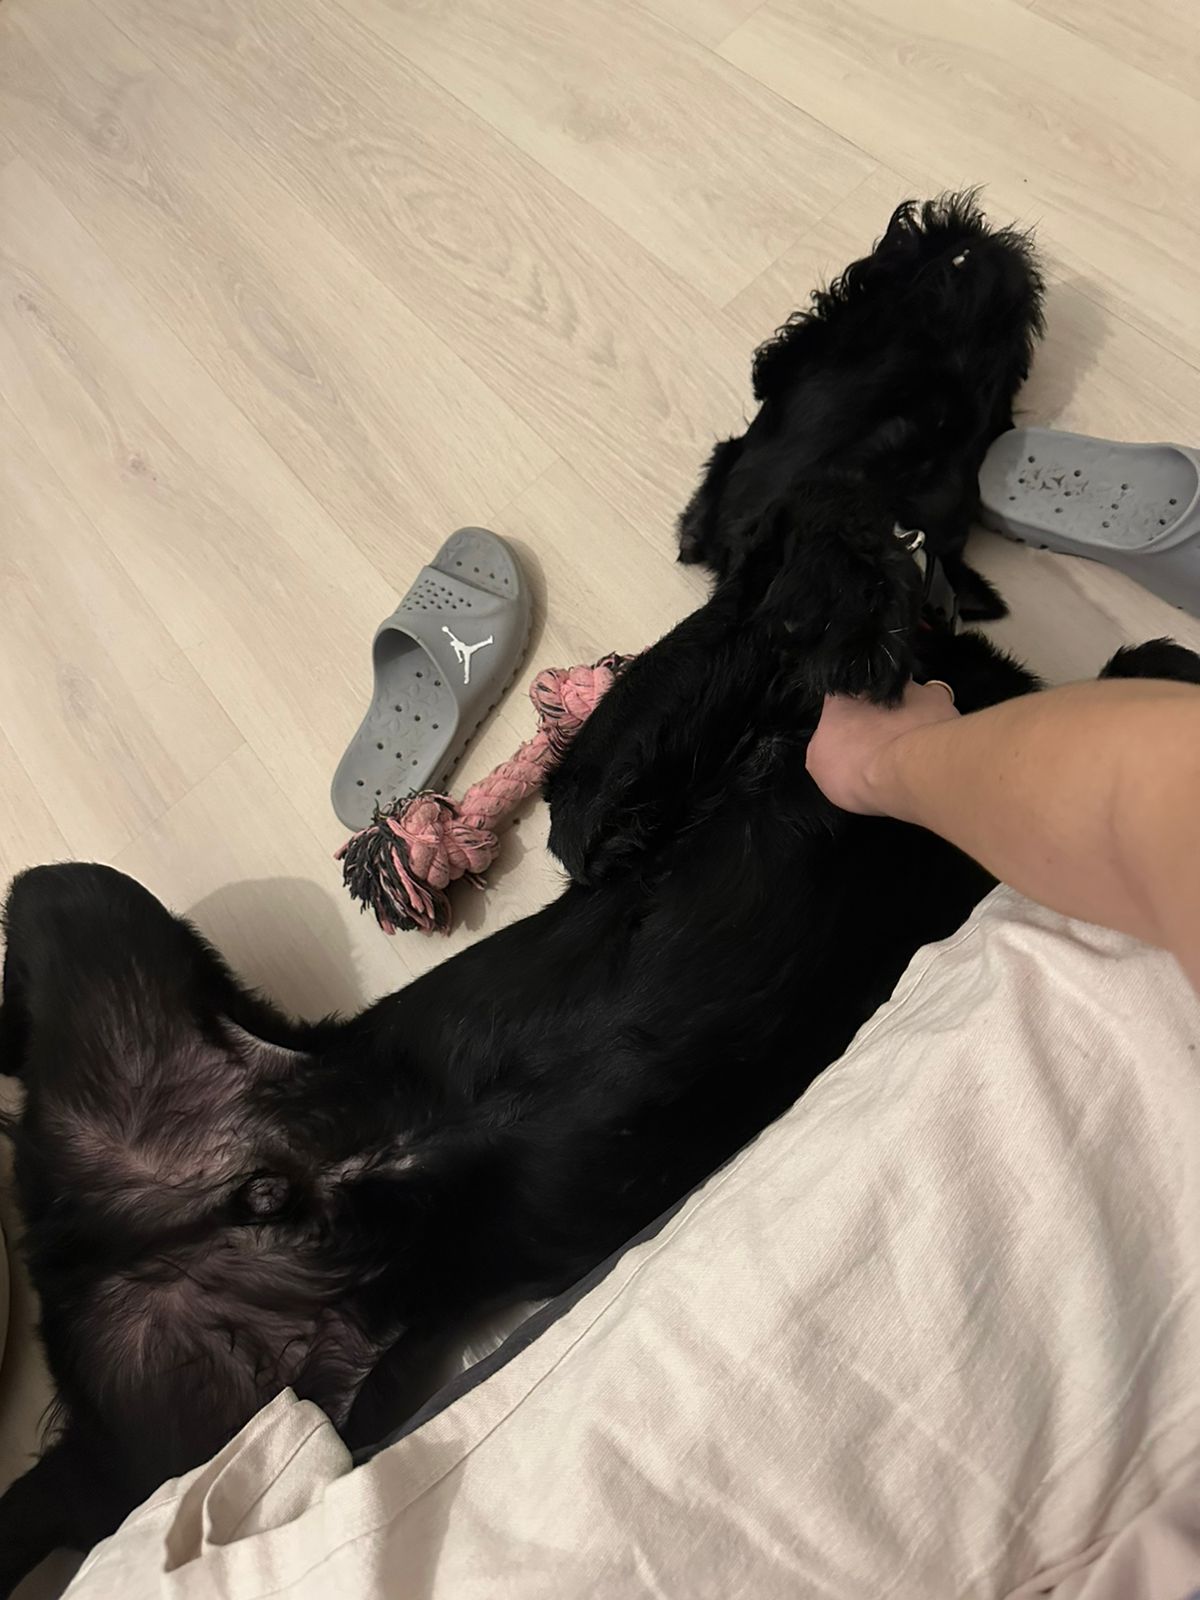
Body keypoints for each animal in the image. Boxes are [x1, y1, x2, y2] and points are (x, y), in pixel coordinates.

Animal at [3, 194, 1195, 1592]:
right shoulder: (604, 804)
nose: (944, 223)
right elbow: (774, 582)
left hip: (281, 1375)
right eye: (845, 324)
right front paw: (836, 571)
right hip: (80, 905)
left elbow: (1128, 664)